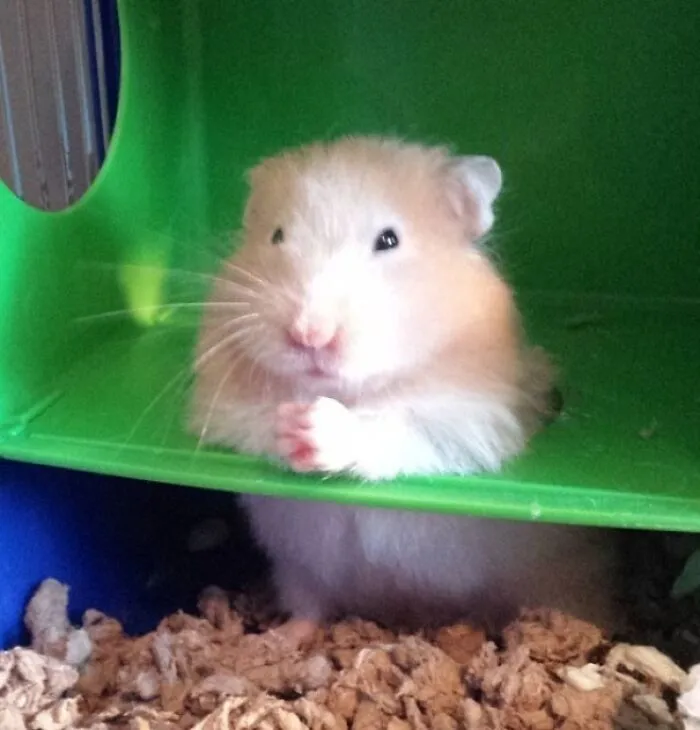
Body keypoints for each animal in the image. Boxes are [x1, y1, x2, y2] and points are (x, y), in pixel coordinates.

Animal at [190, 136, 619, 643]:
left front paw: (317, 427)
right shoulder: (223, 413)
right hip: (296, 567)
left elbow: (394, 429)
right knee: (309, 605)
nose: (309, 335)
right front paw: (290, 420)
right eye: (276, 236)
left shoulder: (470, 425)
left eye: (388, 240)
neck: (352, 391)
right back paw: (282, 638)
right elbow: (253, 425)